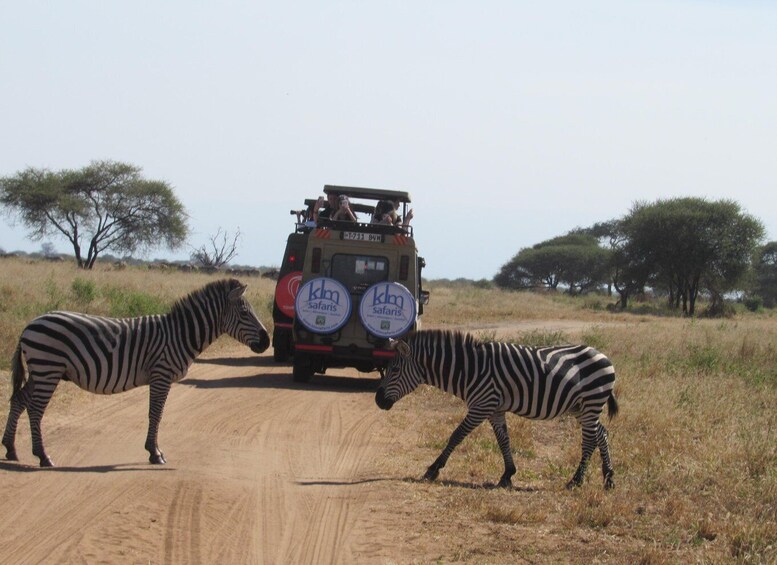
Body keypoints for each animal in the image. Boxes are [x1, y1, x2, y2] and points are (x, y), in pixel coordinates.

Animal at [2, 278, 270, 467]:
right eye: (245, 313)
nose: (267, 342)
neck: (179, 335)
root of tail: (31, 323)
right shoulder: (161, 374)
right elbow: (156, 414)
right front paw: (155, 453)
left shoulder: (160, 376)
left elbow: (156, 414)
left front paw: (154, 451)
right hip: (48, 368)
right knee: (35, 409)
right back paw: (43, 456)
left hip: (40, 370)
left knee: (18, 400)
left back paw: (11, 449)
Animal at [375, 330, 619, 489]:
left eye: (394, 370)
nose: (377, 401)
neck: (469, 369)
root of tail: (604, 356)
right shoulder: (494, 409)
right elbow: (503, 440)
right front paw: (507, 475)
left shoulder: (481, 405)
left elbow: (456, 435)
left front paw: (433, 469)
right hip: (581, 407)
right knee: (602, 433)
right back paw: (608, 479)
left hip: (590, 403)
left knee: (589, 440)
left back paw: (576, 481)